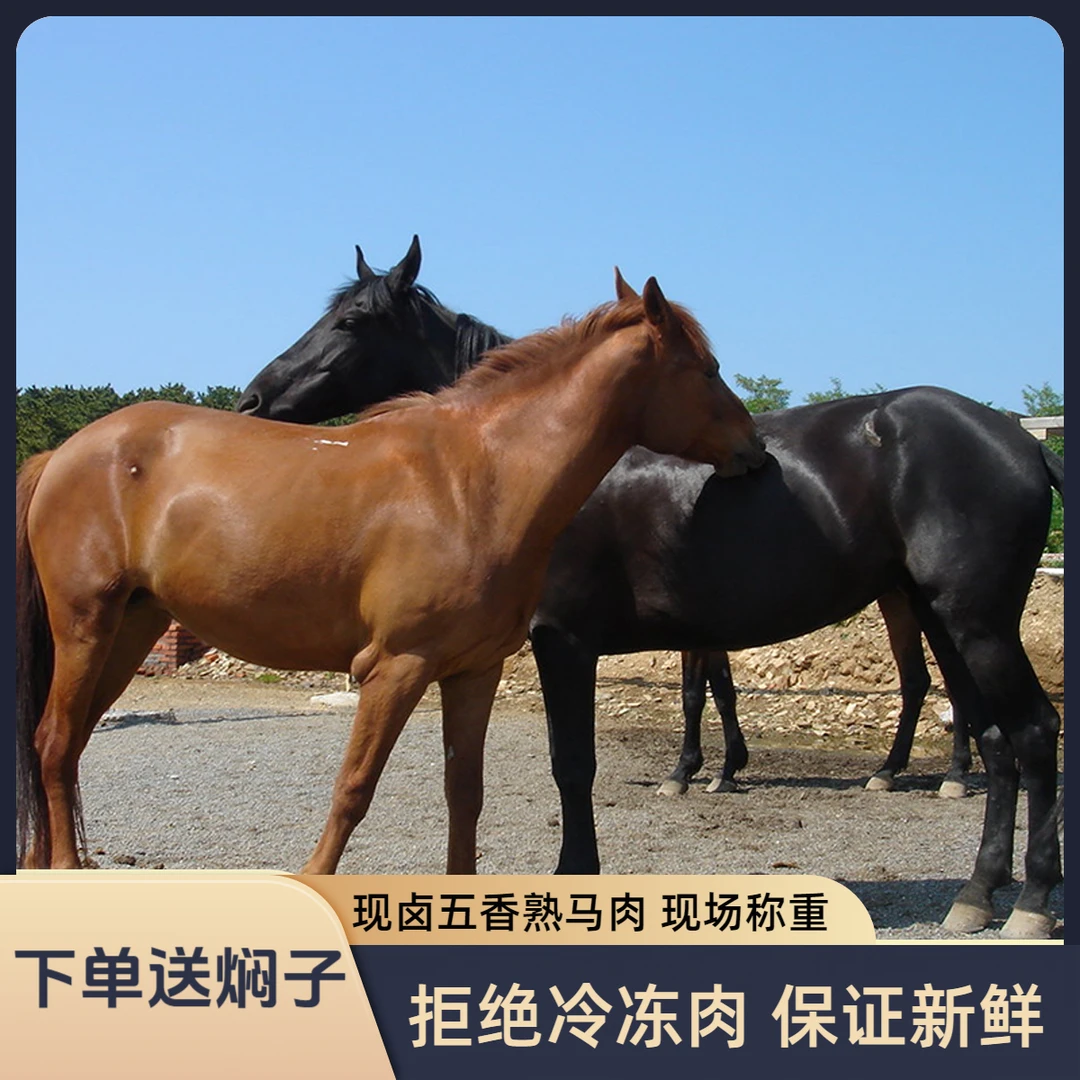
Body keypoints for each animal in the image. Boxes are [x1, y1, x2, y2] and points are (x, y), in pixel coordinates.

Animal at [15, 274, 766, 875]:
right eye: (707, 369)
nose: (754, 450)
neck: (478, 479)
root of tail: (64, 453)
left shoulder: (473, 672)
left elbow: (465, 796)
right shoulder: (395, 668)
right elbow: (353, 789)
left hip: (130, 628)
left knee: (70, 746)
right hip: (85, 625)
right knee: (53, 743)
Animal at [238, 239, 1064, 937]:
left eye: (351, 320)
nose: (252, 399)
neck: (517, 460)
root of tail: (1022, 440)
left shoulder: (563, 642)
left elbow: (574, 765)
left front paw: (578, 877)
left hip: (976, 621)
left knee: (1030, 731)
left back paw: (1029, 902)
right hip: (938, 612)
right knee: (994, 739)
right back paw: (976, 894)